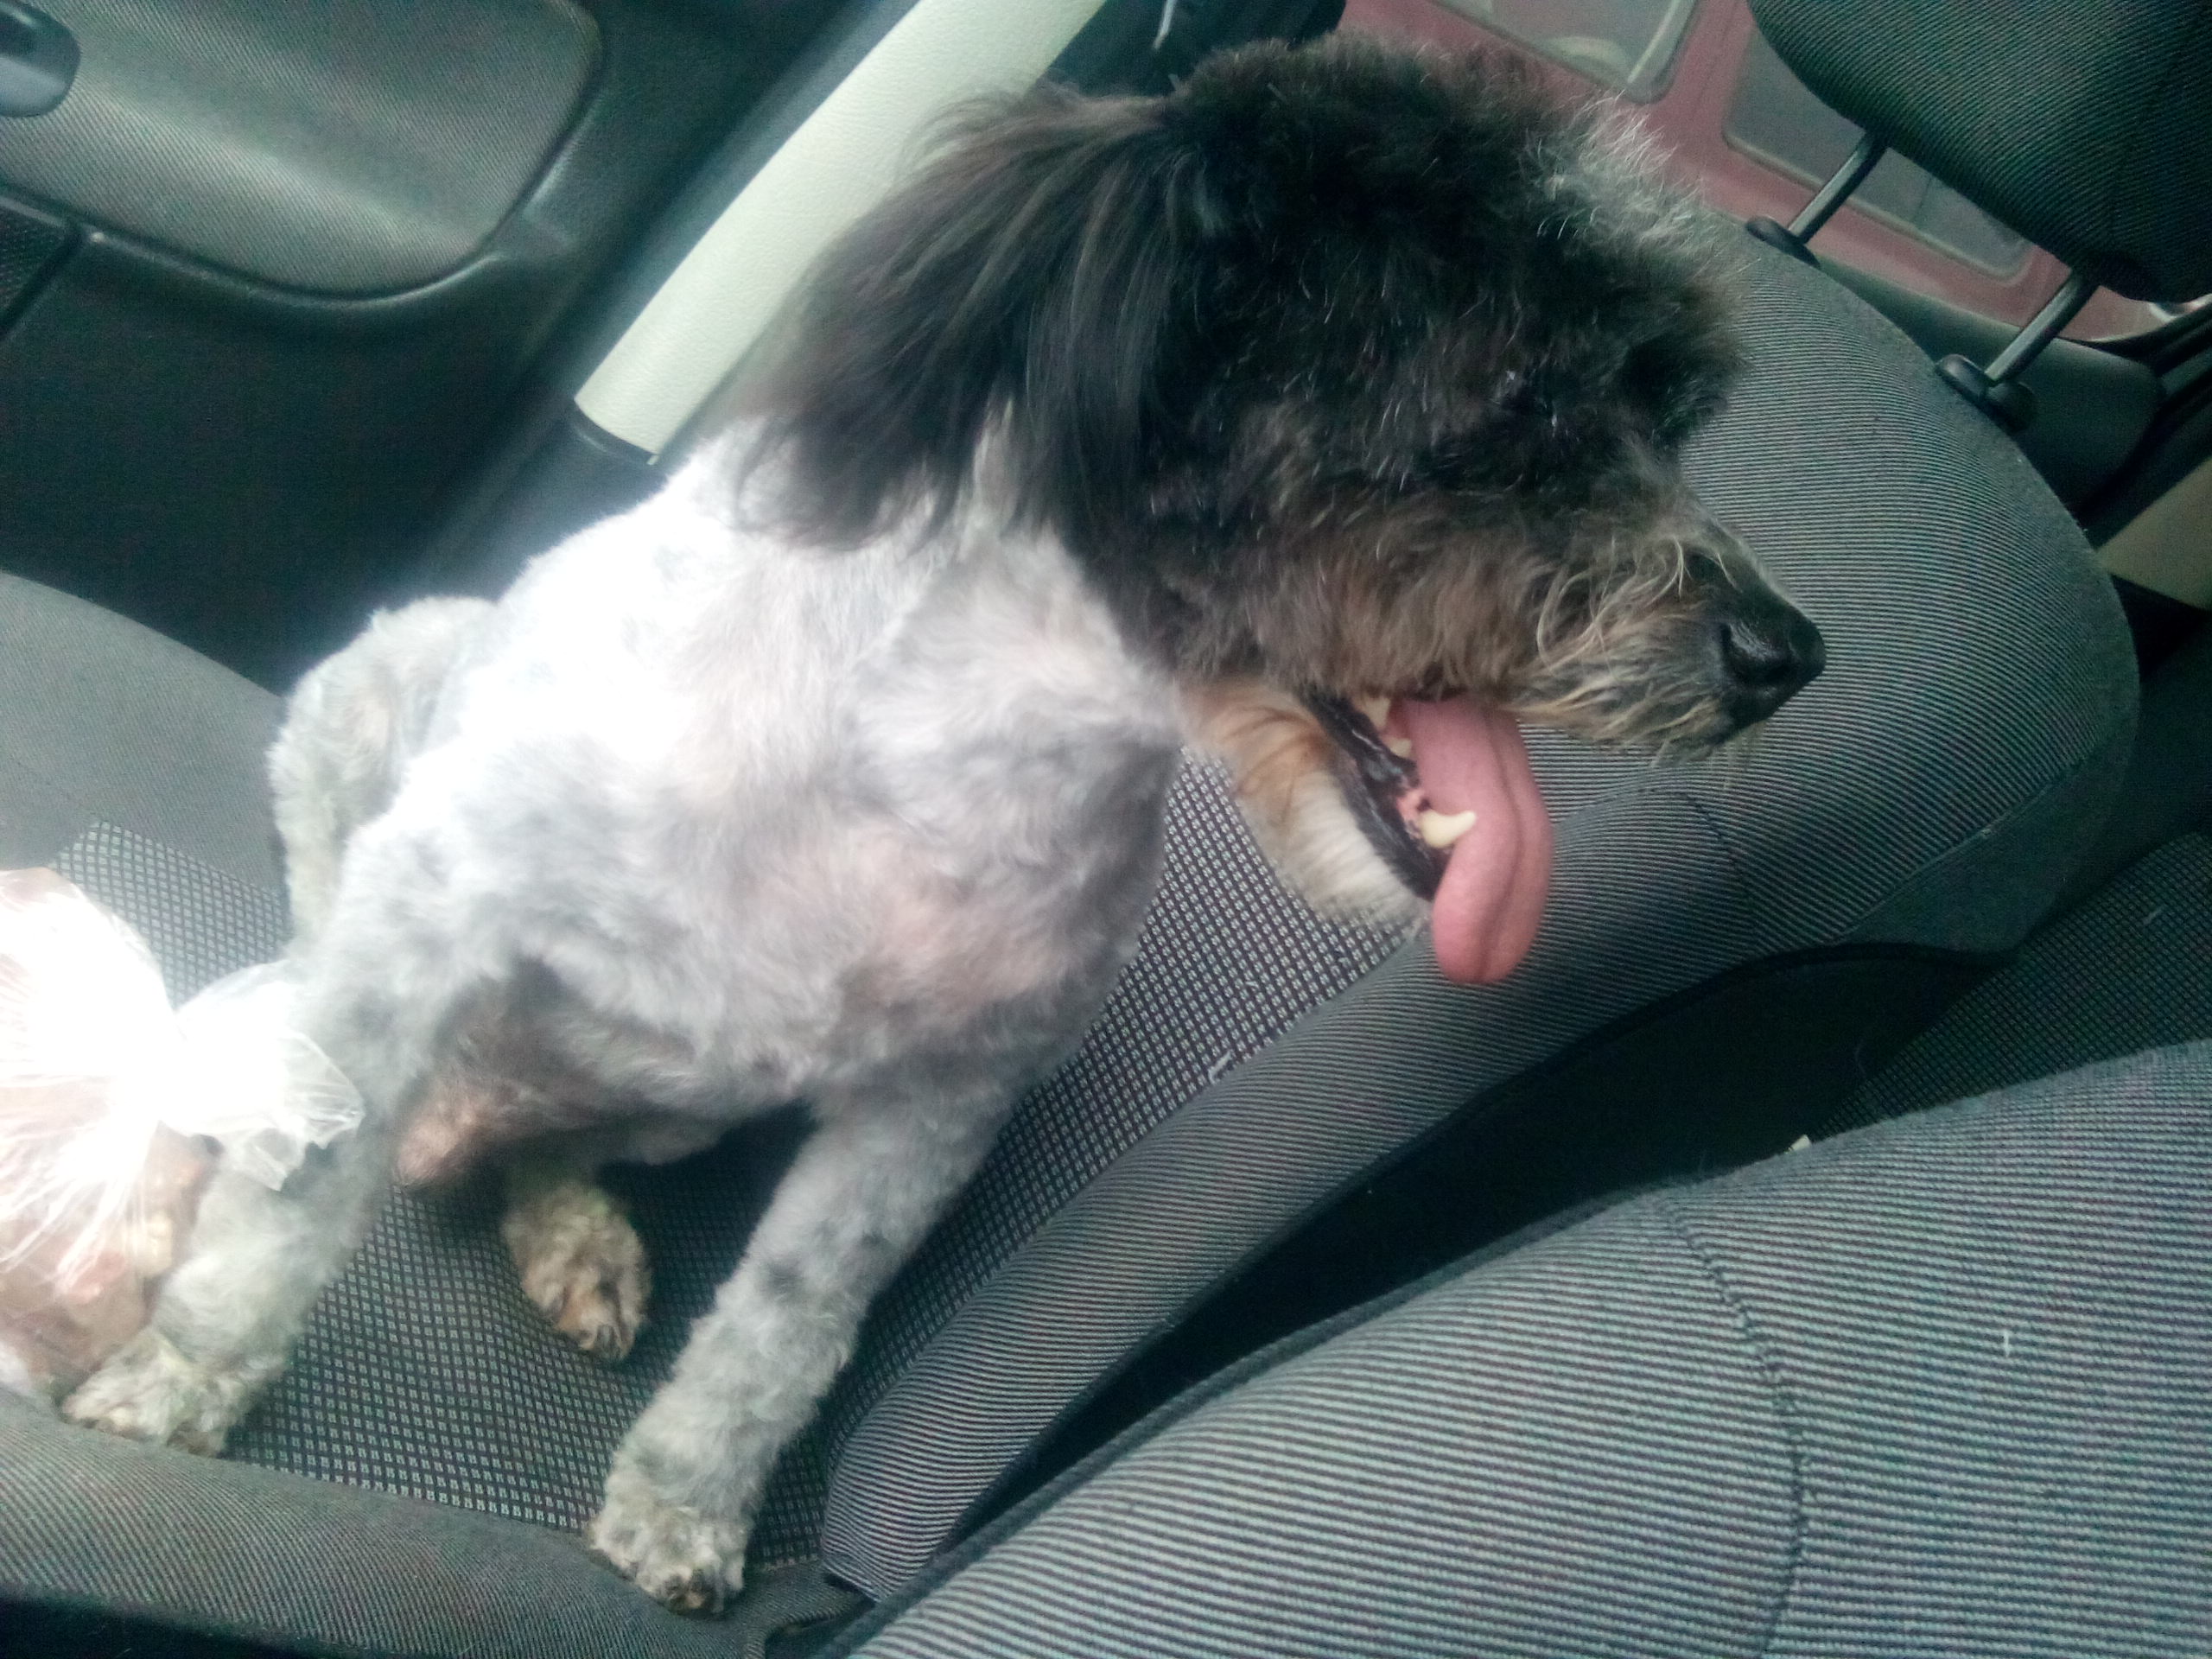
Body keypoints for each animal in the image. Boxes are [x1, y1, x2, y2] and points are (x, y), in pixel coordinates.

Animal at [65, 35, 1823, 1612]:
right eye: (1521, 396)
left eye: (1669, 418)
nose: (1783, 656)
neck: (951, 755)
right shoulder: (434, 909)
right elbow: (298, 1195)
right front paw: (180, 1380)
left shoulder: (931, 1114)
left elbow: (784, 1331)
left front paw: (683, 1510)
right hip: (380, 698)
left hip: (676, 1102)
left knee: (538, 1146)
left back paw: (570, 1229)